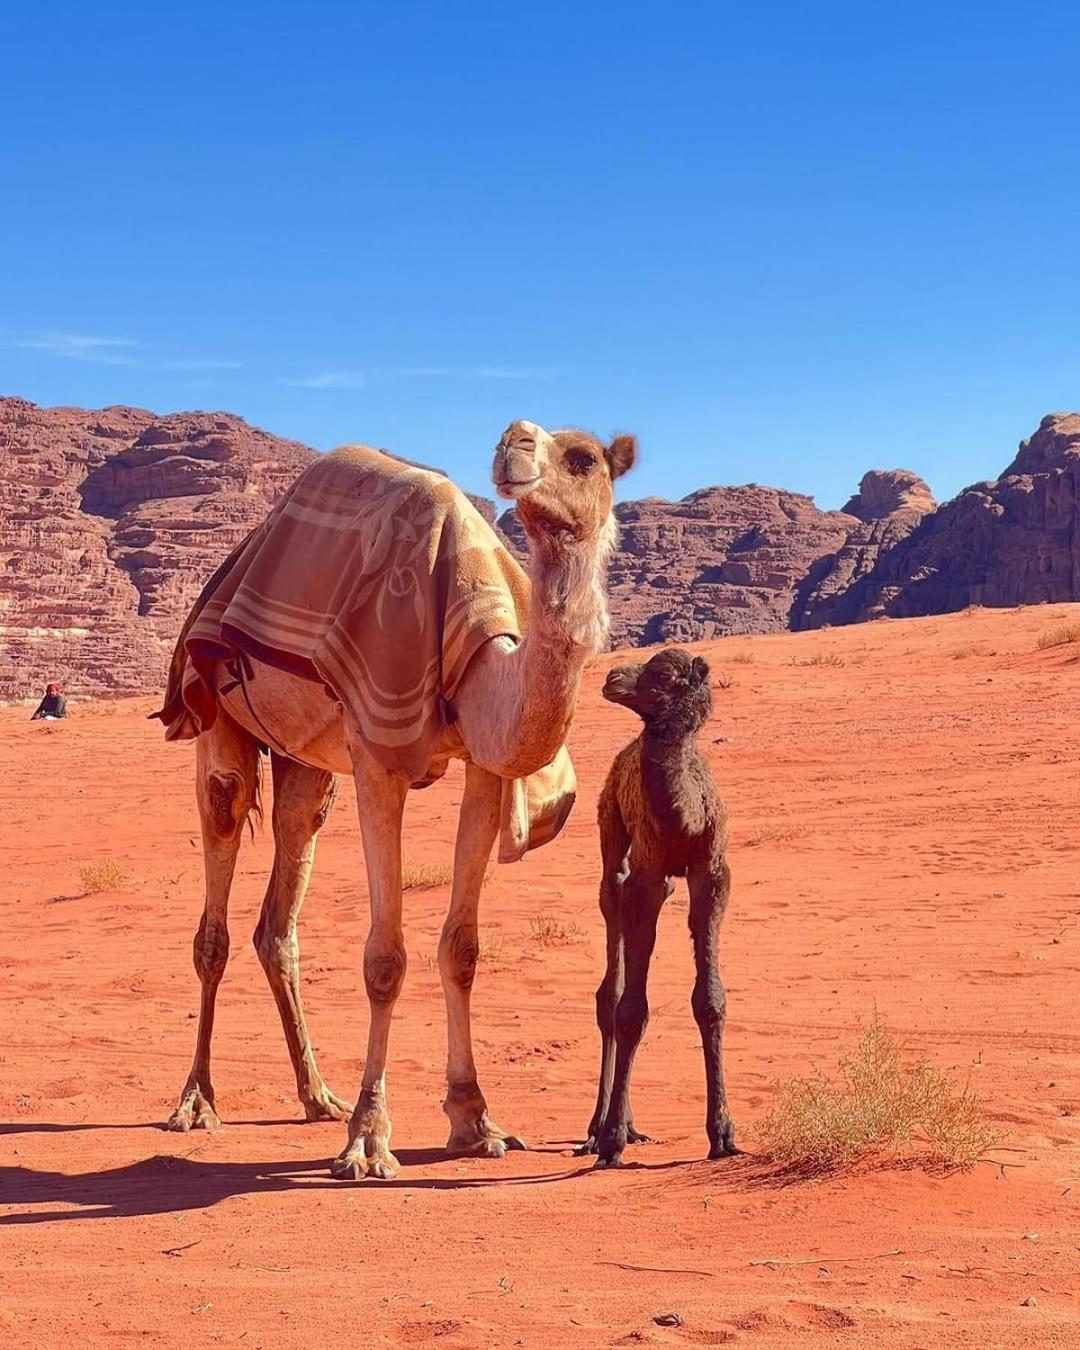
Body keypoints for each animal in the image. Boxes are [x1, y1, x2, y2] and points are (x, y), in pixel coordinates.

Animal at [155, 415, 637, 1177]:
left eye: (585, 457)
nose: (514, 444)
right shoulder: (378, 751)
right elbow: (385, 959)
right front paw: (368, 1140)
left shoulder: (486, 766)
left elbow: (462, 949)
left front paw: (476, 1122)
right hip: (219, 723)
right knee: (216, 913)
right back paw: (198, 1103)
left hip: (305, 765)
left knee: (278, 916)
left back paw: (316, 1094)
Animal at [577, 648, 739, 1166]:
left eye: (665, 675)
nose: (611, 677)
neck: (683, 817)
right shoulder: (646, 873)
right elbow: (631, 1009)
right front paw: (610, 1142)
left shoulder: (712, 871)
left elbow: (710, 999)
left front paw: (723, 1134)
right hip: (609, 823)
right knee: (610, 915)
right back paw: (599, 1127)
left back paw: (627, 1123)